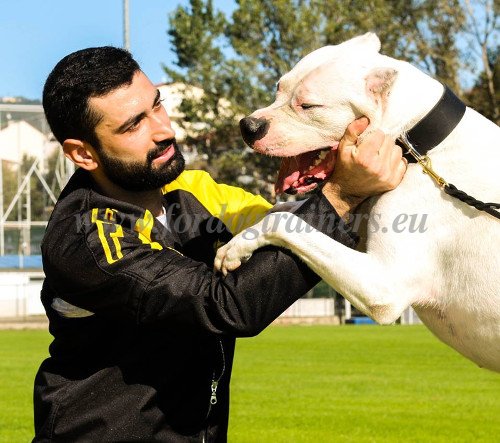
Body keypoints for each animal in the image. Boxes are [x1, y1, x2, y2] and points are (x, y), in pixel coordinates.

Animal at [216, 33, 500, 372]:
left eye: (308, 105)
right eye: (279, 87)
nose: (248, 126)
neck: (419, 144)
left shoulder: (382, 285)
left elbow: (284, 220)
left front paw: (235, 247)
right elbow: (286, 211)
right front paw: (240, 238)